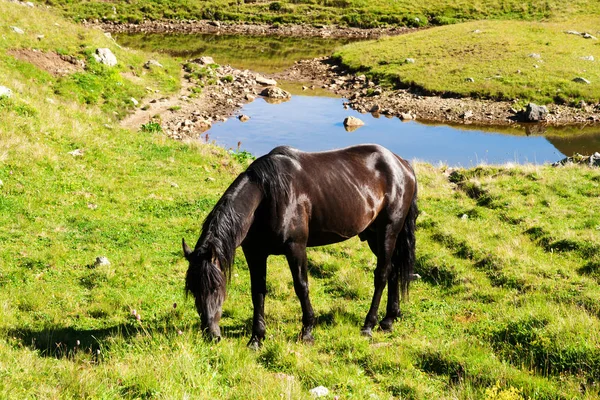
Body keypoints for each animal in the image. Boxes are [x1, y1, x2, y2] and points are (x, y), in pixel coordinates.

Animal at [183, 143, 418, 346]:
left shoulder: (295, 247)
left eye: (216, 287)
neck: (266, 196)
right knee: (393, 269)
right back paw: (388, 320)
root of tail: (401, 164)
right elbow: (257, 291)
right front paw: (256, 338)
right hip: (373, 235)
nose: (211, 335)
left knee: (382, 274)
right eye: (193, 290)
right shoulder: (255, 253)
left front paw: (307, 332)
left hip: (388, 230)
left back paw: (369, 325)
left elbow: (301, 286)